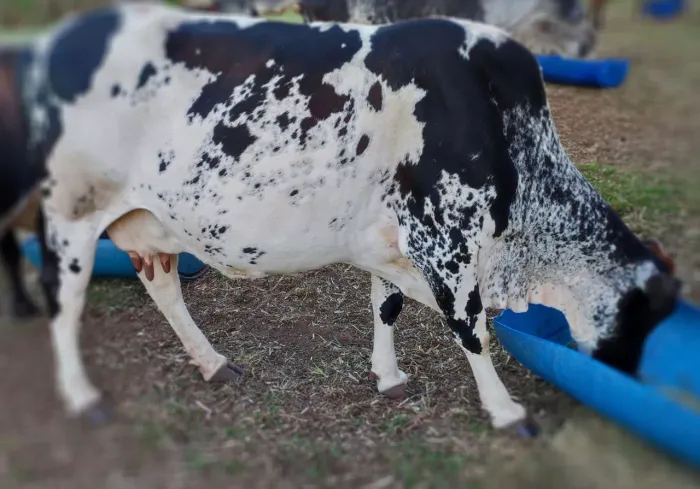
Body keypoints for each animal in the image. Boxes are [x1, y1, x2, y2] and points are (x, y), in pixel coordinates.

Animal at [6, 3, 680, 433]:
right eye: (644, 322)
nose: (623, 381)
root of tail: (62, 40)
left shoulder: (392, 238)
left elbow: (388, 304)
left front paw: (388, 375)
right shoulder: (445, 238)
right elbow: (471, 328)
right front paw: (506, 410)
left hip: (149, 220)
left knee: (163, 286)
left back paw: (214, 363)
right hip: (72, 214)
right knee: (63, 302)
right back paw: (82, 395)